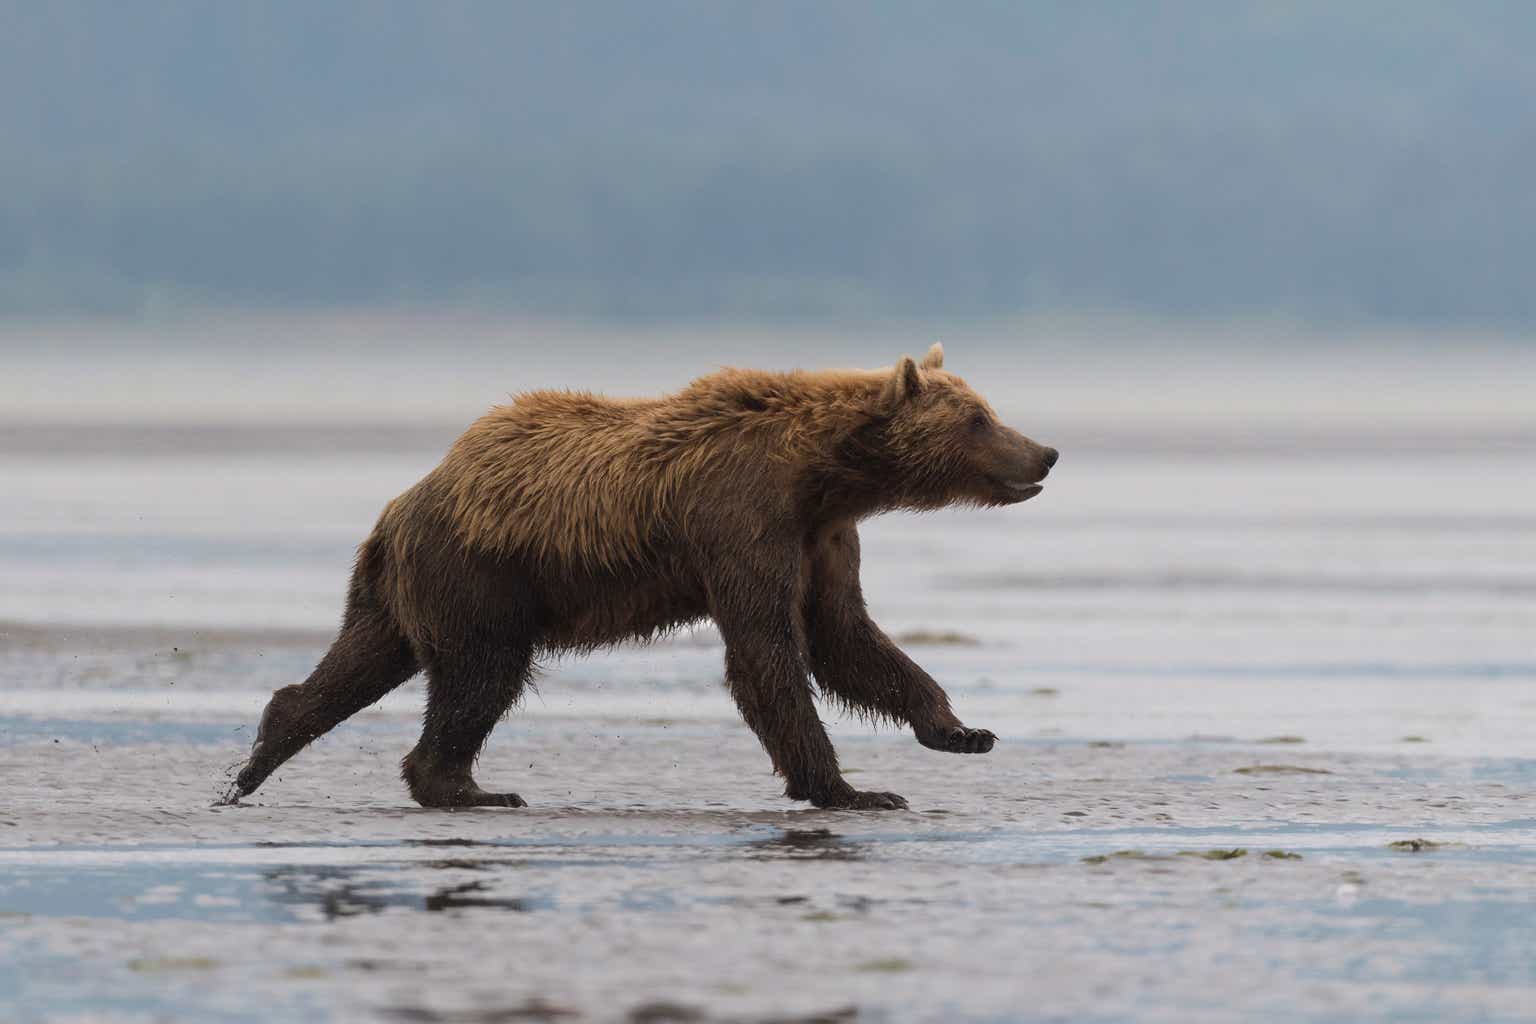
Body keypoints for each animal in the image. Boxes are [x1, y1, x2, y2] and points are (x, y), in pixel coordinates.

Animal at [227, 343, 1062, 810]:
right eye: (979, 418)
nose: (1046, 451)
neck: (822, 475)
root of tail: (402, 503)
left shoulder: (822, 538)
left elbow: (846, 637)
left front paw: (960, 731)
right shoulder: (741, 520)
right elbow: (767, 653)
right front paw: (854, 789)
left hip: (407, 587)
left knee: (363, 658)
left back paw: (262, 754)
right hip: (479, 572)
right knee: (481, 674)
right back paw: (471, 787)